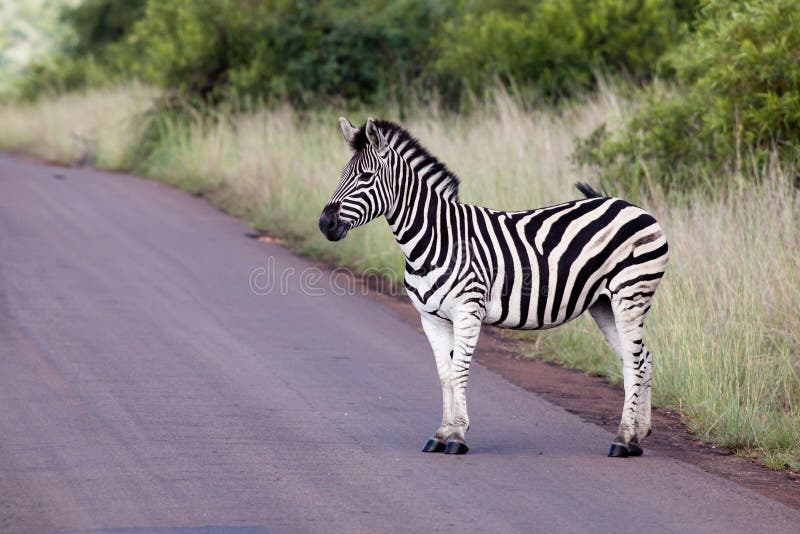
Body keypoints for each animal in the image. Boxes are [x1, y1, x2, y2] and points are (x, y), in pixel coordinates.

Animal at [318, 119, 668, 458]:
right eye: (342, 175)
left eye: (365, 176)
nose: (324, 224)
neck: (434, 239)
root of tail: (633, 207)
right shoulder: (431, 319)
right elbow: (445, 375)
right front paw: (441, 434)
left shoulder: (468, 311)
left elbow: (459, 371)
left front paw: (457, 436)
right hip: (604, 304)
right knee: (641, 359)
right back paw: (637, 437)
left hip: (631, 293)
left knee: (634, 363)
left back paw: (622, 440)